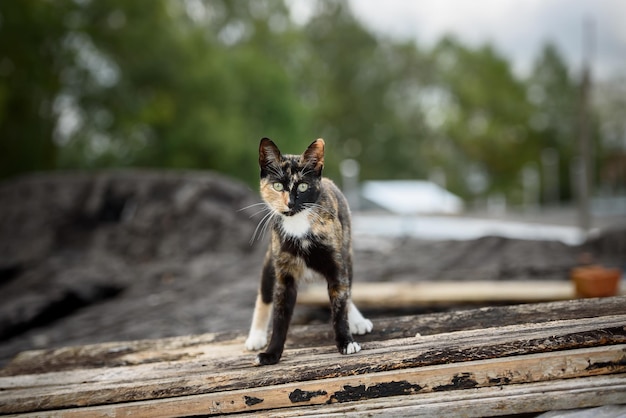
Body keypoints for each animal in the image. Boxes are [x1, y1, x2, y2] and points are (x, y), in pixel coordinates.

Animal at [244, 138, 370, 366]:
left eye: (303, 186)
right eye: (277, 186)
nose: (290, 203)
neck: (298, 225)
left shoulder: (336, 265)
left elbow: (340, 305)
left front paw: (346, 342)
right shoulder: (284, 275)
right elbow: (280, 316)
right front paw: (271, 354)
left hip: (347, 253)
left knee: (348, 289)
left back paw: (358, 320)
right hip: (270, 260)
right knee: (264, 294)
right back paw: (256, 336)